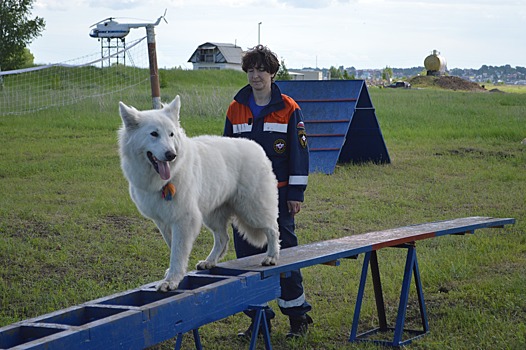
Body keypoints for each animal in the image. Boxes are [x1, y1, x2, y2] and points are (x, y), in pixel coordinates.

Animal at [118, 94, 282, 292]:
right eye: (154, 134)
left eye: (171, 134)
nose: (171, 154)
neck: (165, 178)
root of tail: (258, 148)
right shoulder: (163, 221)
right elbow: (173, 247)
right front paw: (172, 274)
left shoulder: (184, 220)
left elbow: (178, 252)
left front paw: (171, 280)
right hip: (213, 215)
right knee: (223, 238)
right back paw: (210, 261)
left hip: (252, 210)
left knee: (273, 229)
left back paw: (272, 256)